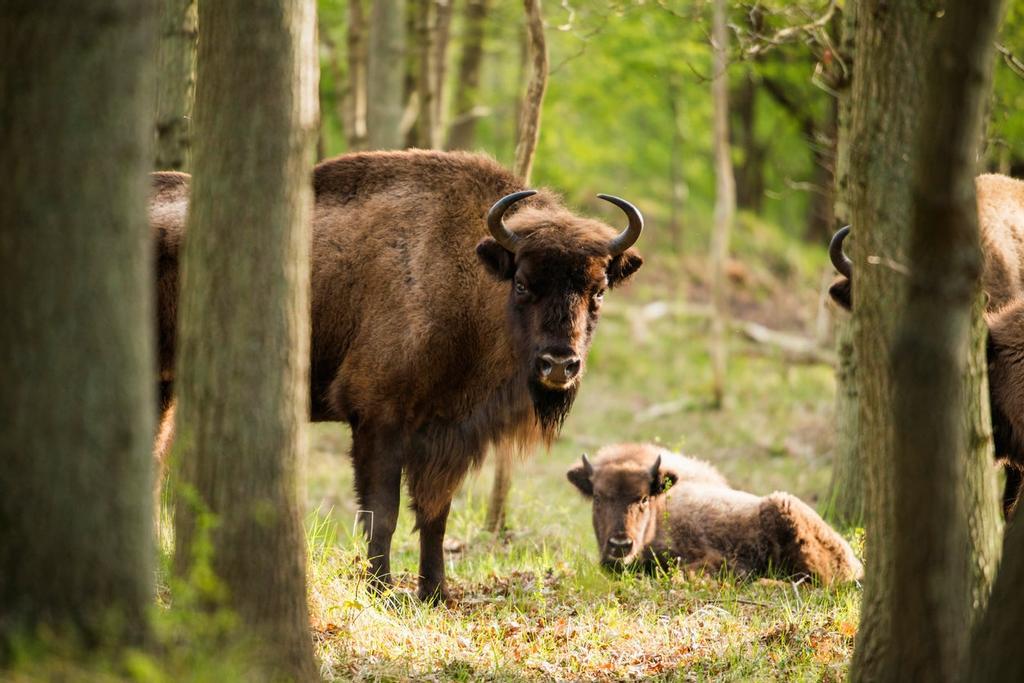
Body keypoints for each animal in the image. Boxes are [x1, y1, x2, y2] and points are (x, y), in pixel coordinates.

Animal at [151, 150, 644, 602]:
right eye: (522, 284)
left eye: (599, 291)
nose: (559, 364)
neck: (466, 276)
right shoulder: (378, 419)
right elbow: (382, 513)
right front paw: (380, 589)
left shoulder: (447, 432)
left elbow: (433, 515)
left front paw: (435, 594)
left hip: (165, 389)